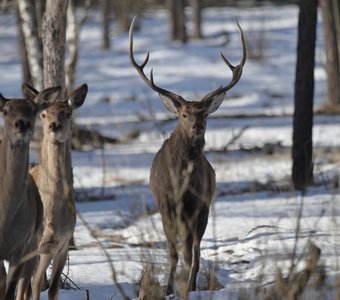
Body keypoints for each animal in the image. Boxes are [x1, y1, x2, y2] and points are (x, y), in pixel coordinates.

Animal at [0, 85, 60, 300]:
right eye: (5, 111)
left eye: (33, 110)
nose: (22, 124)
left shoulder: (21, 246)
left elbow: (10, 290)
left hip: (34, 243)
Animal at [28, 82, 87, 300]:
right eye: (44, 114)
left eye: (68, 113)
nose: (54, 125)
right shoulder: (36, 244)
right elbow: (35, 285)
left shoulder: (63, 244)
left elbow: (52, 288)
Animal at [129, 17, 246, 294]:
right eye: (184, 114)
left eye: (204, 113)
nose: (197, 126)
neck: (180, 179)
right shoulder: (164, 204)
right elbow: (172, 252)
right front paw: (168, 288)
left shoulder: (196, 205)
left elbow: (189, 253)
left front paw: (182, 287)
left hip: (205, 207)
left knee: (196, 251)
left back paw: (192, 285)